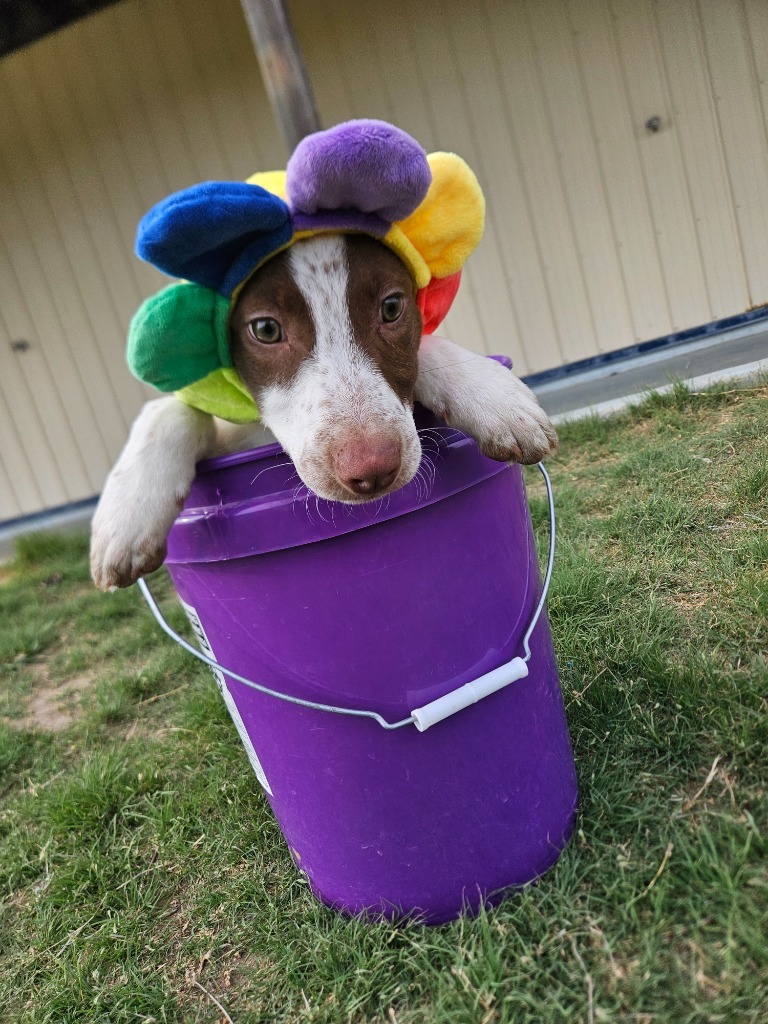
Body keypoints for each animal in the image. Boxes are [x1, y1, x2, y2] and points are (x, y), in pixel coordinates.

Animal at [91, 229, 561, 589]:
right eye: (266, 329)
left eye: (392, 307)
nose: (372, 471)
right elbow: (170, 410)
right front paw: (126, 518)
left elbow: (426, 344)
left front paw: (493, 395)